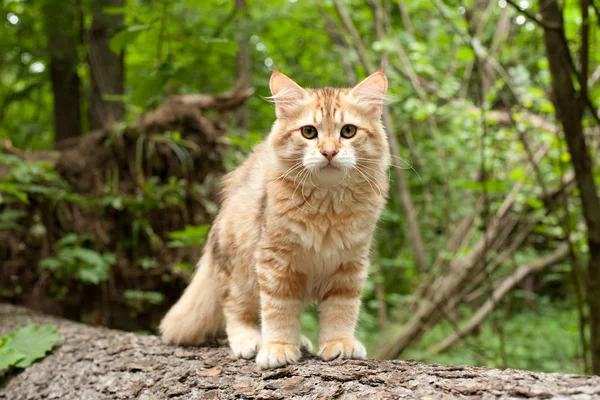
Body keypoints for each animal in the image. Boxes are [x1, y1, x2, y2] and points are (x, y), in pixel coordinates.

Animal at [159, 69, 392, 368]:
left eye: (348, 131)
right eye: (309, 132)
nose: (329, 152)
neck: (327, 206)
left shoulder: (349, 264)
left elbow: (341, 310)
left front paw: (339, 343)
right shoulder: (275, 262)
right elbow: (278, 310)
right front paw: (278, 347)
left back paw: (300, 340)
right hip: (239, 272)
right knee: (235, 311)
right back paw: (251, 341)